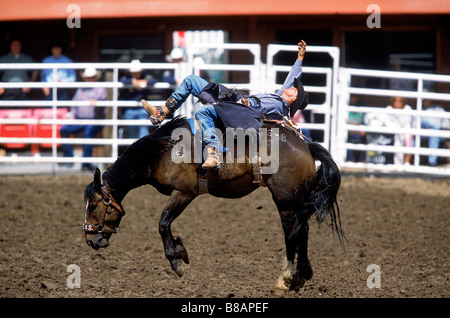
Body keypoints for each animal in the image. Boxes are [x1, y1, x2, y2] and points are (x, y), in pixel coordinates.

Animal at [82, 117, 342, 294]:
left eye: (93, 207)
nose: (91, 240)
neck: (163, 151)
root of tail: (306, 146)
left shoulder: (184, 192)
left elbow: (163, 223)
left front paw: (177, 259)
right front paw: (180, 250)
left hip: (284, 199)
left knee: (292, 231)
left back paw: (285, 278)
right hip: (296, 198)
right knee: (303, 229)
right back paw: (301, 276)